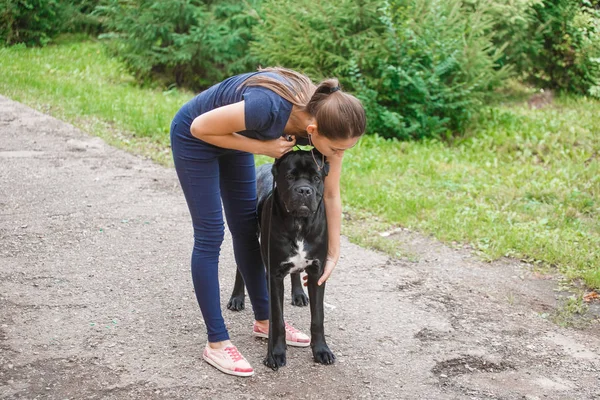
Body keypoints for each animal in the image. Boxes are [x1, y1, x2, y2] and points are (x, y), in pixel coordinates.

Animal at [255, 152, 336, 370]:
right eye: (290, 177)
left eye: (316, 178)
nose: (304, 190)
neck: (299, 224)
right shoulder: (274, 275)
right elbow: (277, 319)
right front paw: (276, 353)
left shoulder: (317, 273)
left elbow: (318, 317)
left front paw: (321, 350)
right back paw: (236, 299)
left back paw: (299, 294)